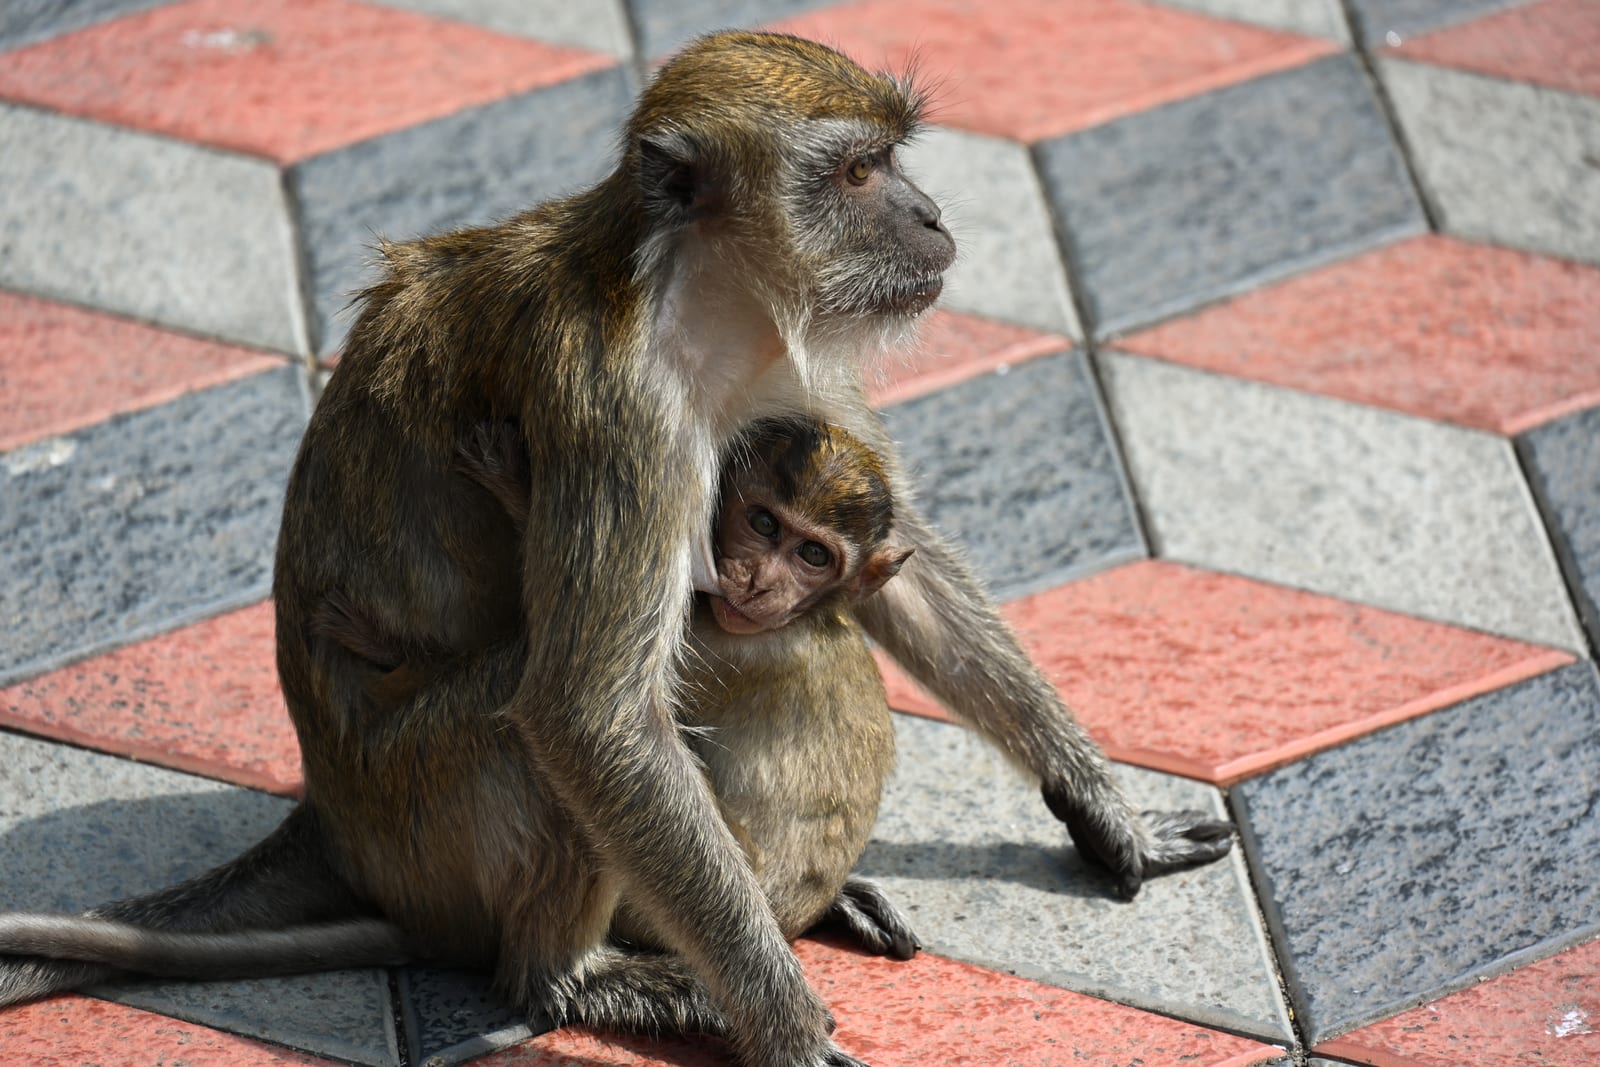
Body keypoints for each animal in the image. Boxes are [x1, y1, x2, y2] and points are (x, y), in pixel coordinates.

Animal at [0, 30, 1230, 1067]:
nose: (927, 214)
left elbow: (903, 562)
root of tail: (333, 821)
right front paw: (787, 1028)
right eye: (856, 172)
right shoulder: (617, 411)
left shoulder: (789, 373)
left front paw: (1102, 807)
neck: (691, 297)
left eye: (892, 160)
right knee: (535, 716)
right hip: (420, 810)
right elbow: (588, 716)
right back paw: (575, 981)